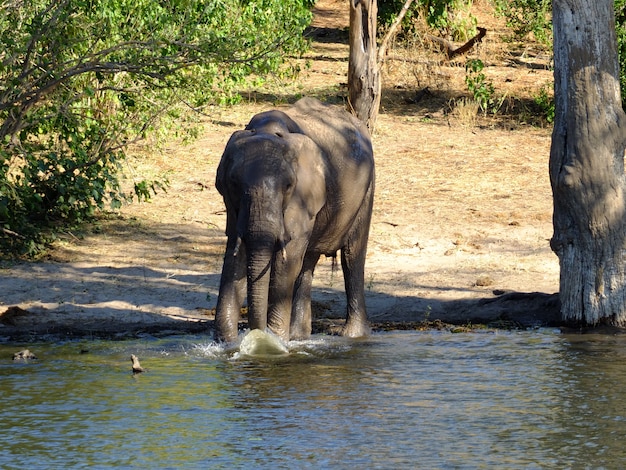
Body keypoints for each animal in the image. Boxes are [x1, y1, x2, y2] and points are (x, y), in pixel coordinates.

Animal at [212, 97, 372, 344]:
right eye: (235, 184)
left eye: (288, 186)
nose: (255, 333)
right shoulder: (233, 205)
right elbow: (234, 256)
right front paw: (227, 344)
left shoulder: (302, 195)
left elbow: (285, 263)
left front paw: (275, 342)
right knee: (307, 260)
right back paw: (299, 337)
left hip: (367, 186)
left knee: (352, 256)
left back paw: (352, 336)